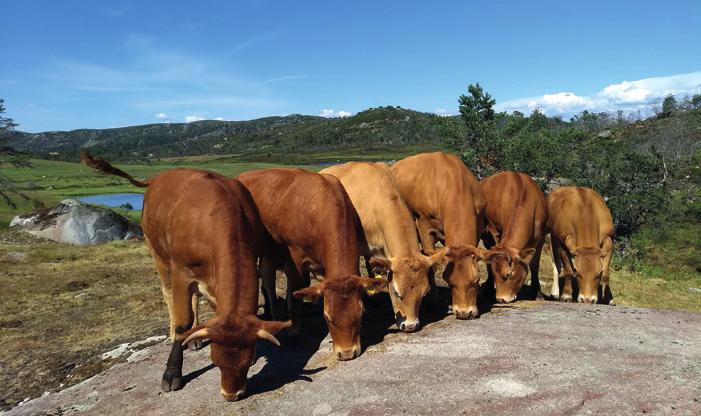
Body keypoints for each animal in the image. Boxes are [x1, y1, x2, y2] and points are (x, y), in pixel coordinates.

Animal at [80, 154, 290, 404]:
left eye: (248, 362)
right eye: (215, 361)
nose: (231, 395)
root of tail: (157, 178)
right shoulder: (181, 272)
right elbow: (183, 322)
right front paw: (172, 372)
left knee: (195, 298)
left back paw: (195, 337)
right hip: (157, 253)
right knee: (168, 294)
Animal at [238, 169, 386, 360]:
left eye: (360, 314)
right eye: (327, 317)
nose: (347, 353)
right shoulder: (293, 256)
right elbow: (296, 290)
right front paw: (294, 331)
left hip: (268, 252)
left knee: (267, 275)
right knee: (268, 281)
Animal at [388, 152, 486, 318]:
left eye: (475, 280)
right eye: (449, 282)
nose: (464, 313)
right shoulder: (424, 225)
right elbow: (431, 263)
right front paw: (433, 300)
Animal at [482, 171, 548, 304]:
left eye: (508, 275)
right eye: (496, 275)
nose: (500, 299)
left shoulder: (541, 239)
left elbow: (534, 265)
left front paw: (537, 294)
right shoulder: (494, 232)